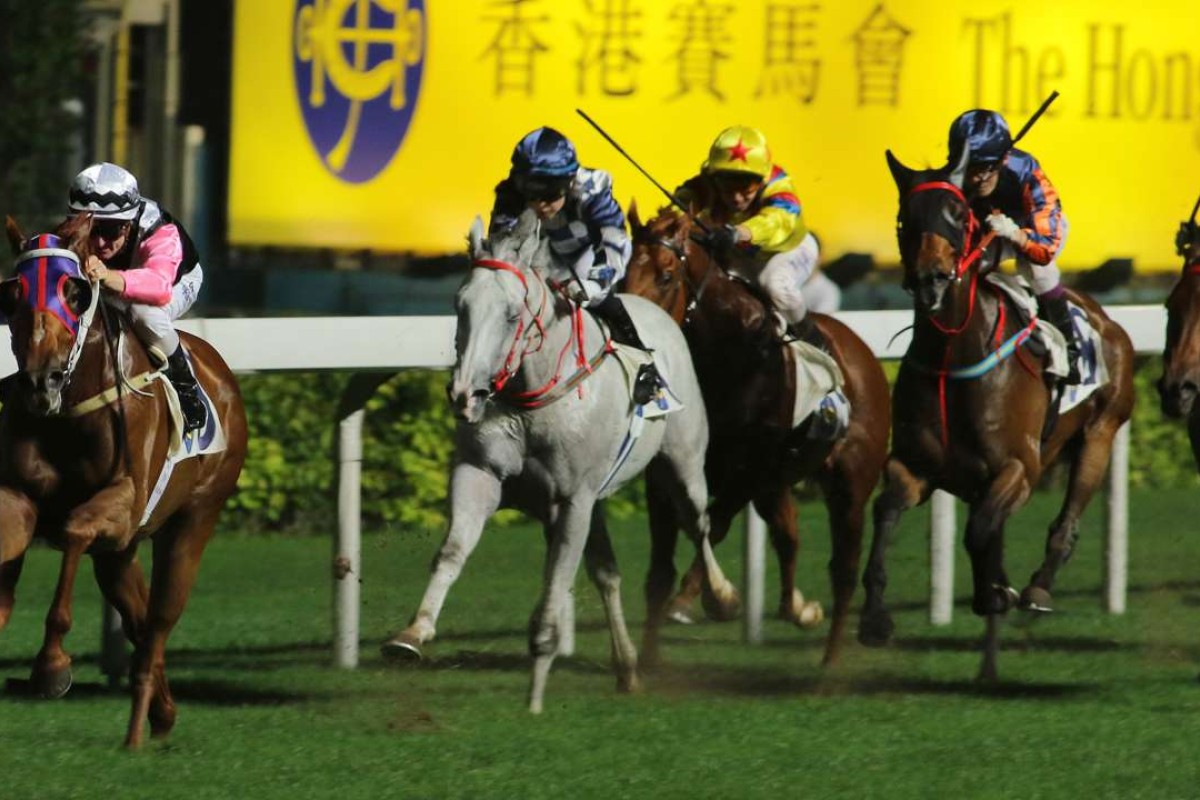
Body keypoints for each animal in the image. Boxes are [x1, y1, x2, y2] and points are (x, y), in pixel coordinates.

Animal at [0, 215, 248, 748]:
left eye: (74, 291)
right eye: (12, 294)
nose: (41, 381)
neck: (69, 412)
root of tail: (222, 373)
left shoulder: (125, 503)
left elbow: (73, 530)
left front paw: (51, 666)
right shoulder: (20, 500)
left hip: (193, 521)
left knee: (158, 622)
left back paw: (137, 731)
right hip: (120, 555)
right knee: (137, 618)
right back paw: (163, 713)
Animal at [384, 212, 729, 714]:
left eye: (511, 313)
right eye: (459, 304)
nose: (465, 394)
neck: (531, 398)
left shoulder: (573, 501)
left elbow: (556, 581)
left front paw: (536, 687)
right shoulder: (481, 475)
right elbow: (453, 551)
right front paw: (412, 632)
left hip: (681, 462)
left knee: (698, 523)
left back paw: (721, 598)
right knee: (608, 574)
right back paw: (627, 668)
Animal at [624, 205, 897, 662]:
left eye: (665, 274)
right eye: (624, 272)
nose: (627, 331)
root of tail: (864, 354)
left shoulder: (749, 470)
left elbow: (711, 525)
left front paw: (714, 597)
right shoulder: (666, 475)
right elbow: (660, 569)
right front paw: (645, 660)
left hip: (850, 480)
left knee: (842, 565)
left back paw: (831, 659)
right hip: (779, 481)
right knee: (789, 532)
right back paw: (797, 609)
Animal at [864, 153, 1132, 681]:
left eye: (958, 215)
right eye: (906, 218)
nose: (931, 279)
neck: (953, 356)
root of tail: (1106, 320)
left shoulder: (1019, 468)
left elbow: (979, 529)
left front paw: (995, 592)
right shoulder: (916, 468)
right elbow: (886, 511)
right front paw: (876, 618)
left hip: (1100, 436)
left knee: (1066, 520)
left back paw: (1036, 586)